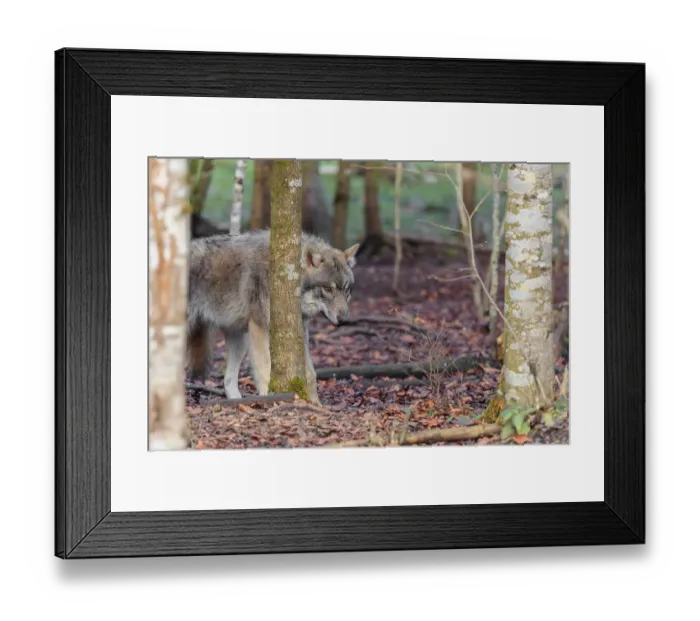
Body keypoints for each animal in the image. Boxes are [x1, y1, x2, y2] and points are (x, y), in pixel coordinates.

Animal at [186, 229, 359, 404]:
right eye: (327, 289)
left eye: (346, 289)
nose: (345, 320)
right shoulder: (259, 327)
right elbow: (265, 369)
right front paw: (271, 399)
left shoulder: (298, 331)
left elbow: (311, 374)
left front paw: (316, 404)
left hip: (240, 340)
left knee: (228, 380)